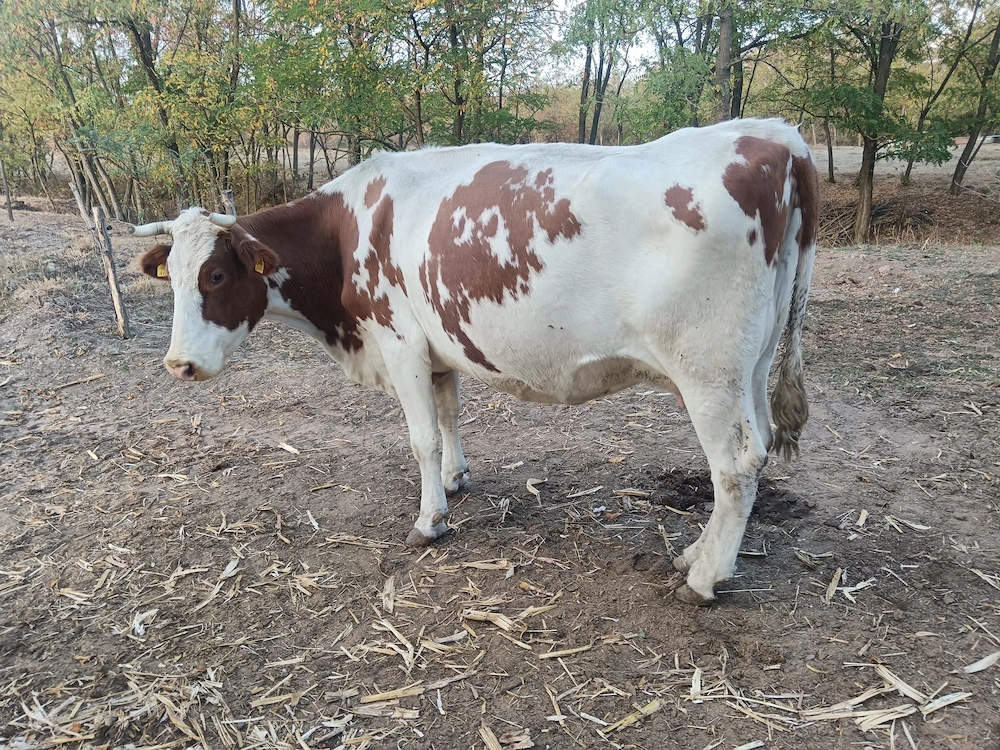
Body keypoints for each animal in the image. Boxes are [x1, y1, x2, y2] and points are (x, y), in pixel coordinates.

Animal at [133, 118, 819, 605]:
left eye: (216, 275)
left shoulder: (399, 341)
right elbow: (448, 419)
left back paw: (704, 579)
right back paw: (697, 554)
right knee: (757, 451)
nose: (178, 365)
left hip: (706, 372)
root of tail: (777, 137)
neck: (346, 229)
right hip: (752, 365)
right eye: (171, 278)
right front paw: (456, 480)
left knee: (732, 469)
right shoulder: (436, 350)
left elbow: (420, 438)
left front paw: (429, 518)